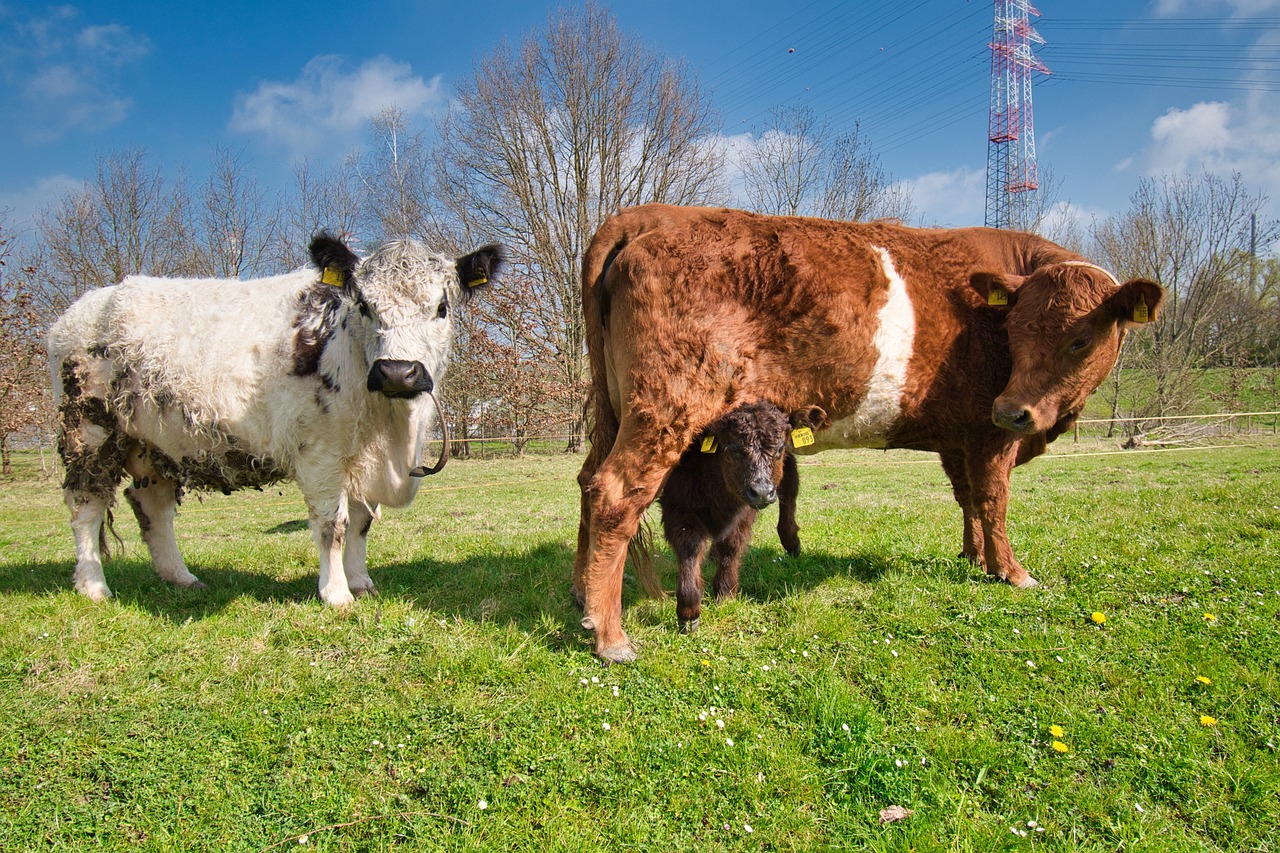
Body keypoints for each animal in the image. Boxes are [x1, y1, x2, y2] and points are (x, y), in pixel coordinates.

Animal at [49, 233, 501, 604]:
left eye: (441, 308)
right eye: (365, 306)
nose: (397, 372)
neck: (393, 432)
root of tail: (83, 307)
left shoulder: (364, 459)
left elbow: (359, 524)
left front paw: (360, 582)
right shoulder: (320, 455)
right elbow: (332, 525)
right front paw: (336, 594)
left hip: (157, 444)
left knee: (152, 508)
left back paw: (181, 577)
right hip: (89, 433)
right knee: (85, 506)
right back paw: (93, 586)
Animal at [576, 202, 1167, 660]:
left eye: (1080, 338)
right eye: (1015, 329)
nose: (1013, 409)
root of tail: (652, 215)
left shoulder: (961, 438)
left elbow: (969, 500)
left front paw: (974, 558)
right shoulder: (990, 434)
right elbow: (994, 500)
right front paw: (1012, 571)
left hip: (617, 413)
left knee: (586, 481)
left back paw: (582, 598)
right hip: (665, 410)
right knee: (614, 493)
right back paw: (611, 637)